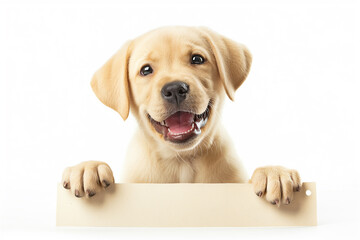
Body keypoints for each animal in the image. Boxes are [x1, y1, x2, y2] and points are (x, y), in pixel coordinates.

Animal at [62, 26, 300, 206]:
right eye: (146, 70)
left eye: (197, 59)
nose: (175, 89)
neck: (182, 161)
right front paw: (87, 168)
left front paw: (274, 173)